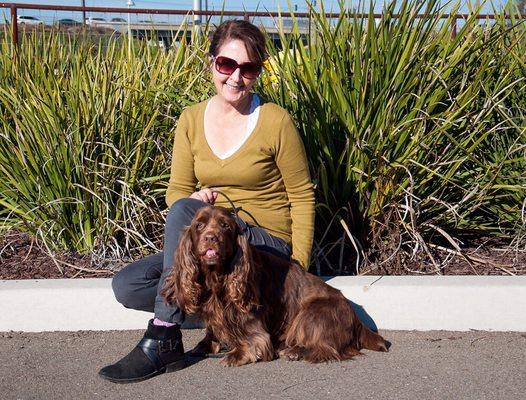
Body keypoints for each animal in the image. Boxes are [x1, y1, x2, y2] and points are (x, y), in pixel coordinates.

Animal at [163, 206, 390, 366]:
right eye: (199, 226)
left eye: (225, 226)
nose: (211, 238)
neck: (218, 277)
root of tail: (356, 319)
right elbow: (212, 330)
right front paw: (205, 345)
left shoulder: (251, 320)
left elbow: (253, 339)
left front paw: (237, 353)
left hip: (312, 312)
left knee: (327, 348)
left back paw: (294, 351)